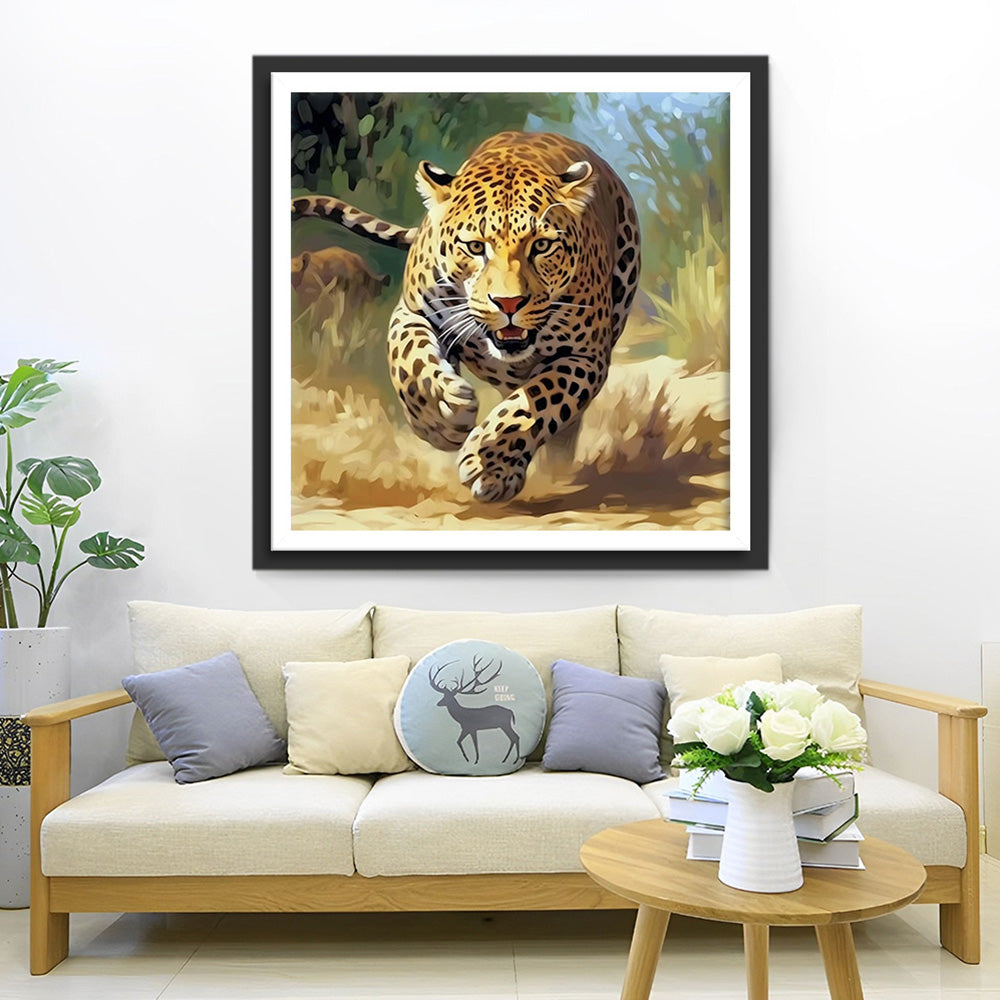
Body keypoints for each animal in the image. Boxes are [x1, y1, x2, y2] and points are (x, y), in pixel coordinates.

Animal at [291, 130, 641, 502]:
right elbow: (410, 362)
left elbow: (536, 403)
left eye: (542, 246)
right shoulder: (412, 312)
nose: (509, 303)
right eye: (475, 247)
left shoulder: (585, 356)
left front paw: (489, 465)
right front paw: (441, 419)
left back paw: (555, 468)